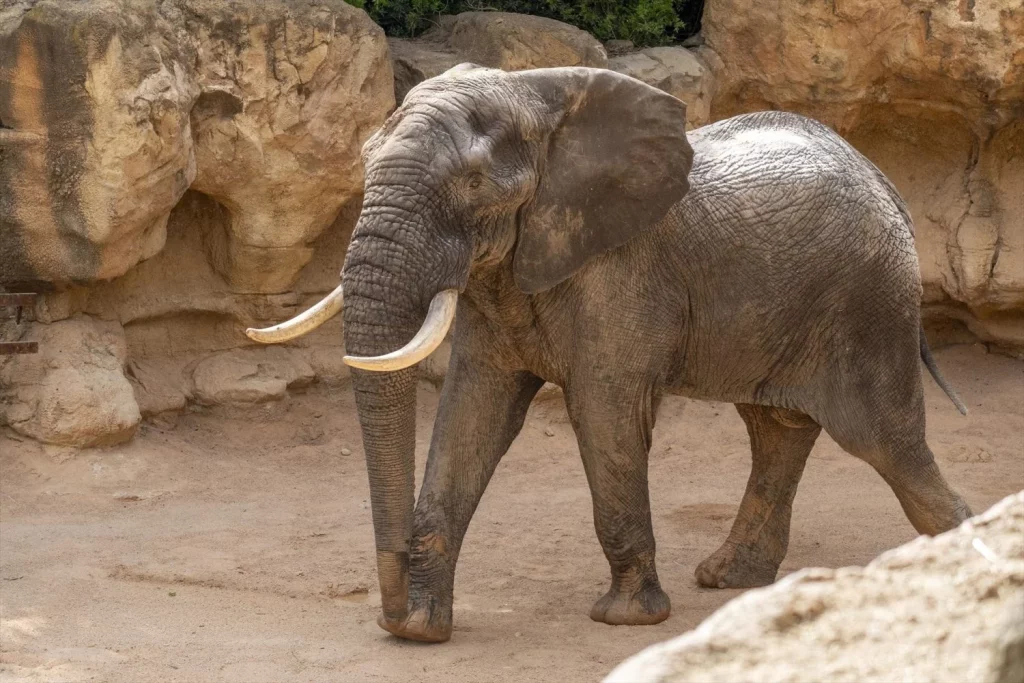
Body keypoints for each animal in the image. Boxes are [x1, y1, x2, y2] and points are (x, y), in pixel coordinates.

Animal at [243, 62, 970, 643]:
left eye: (474, 183)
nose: (388, 615)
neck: (536, 98)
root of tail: (883, 178)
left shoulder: (623, 272)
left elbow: (604, 411)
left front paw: (627, 619)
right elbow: (474, 410)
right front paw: (422, 629)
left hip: (870, 303)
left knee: (885, 438)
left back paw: (956, 551)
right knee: (776, 427)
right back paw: (730, 577)